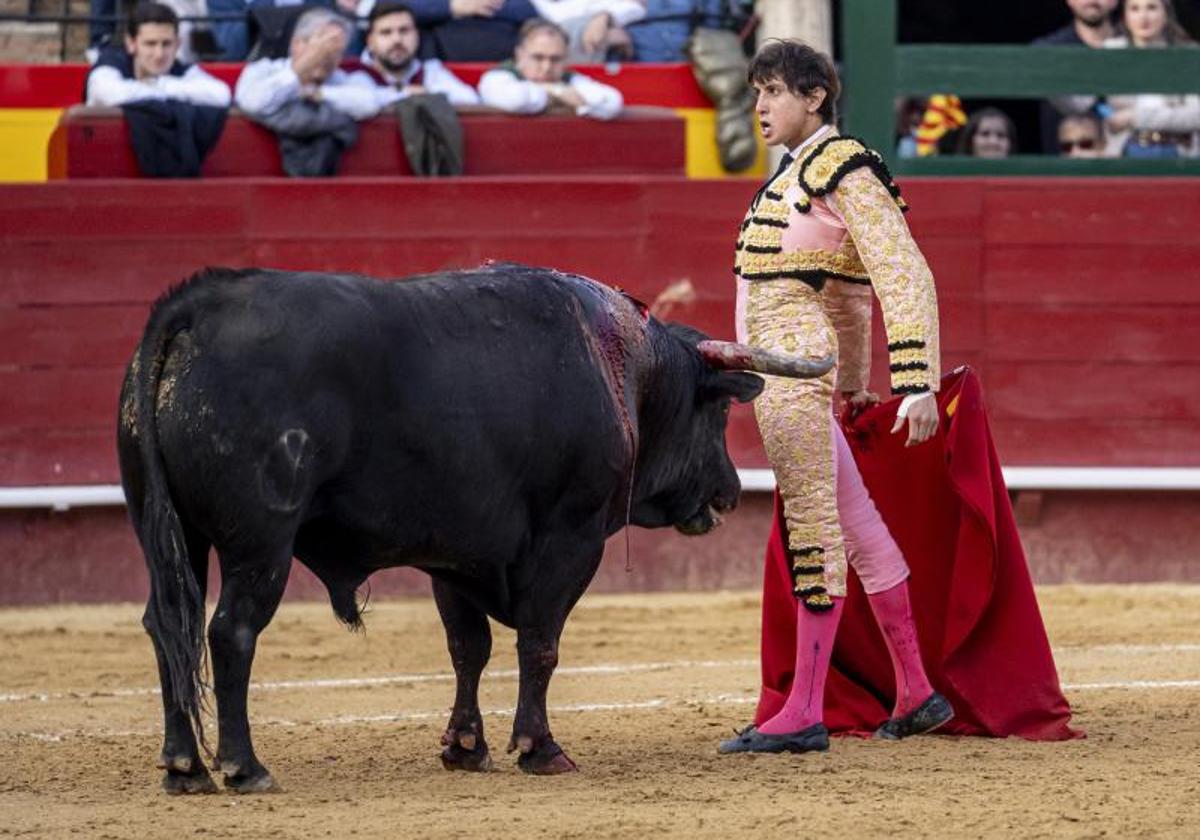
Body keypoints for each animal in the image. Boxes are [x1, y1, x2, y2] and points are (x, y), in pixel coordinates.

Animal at [119, 264, 835, 792]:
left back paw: (183, 766)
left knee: (166, 624)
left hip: (170, 536)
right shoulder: (570, 538)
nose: (729, 493)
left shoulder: (456, 553)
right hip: (261, 543)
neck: (625, 370)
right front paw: (540, 748)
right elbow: (540, 643)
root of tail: (194, 308)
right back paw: (243, 767)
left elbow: (468, 647)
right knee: (230, 630)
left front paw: (466, 746)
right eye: (715, 415)